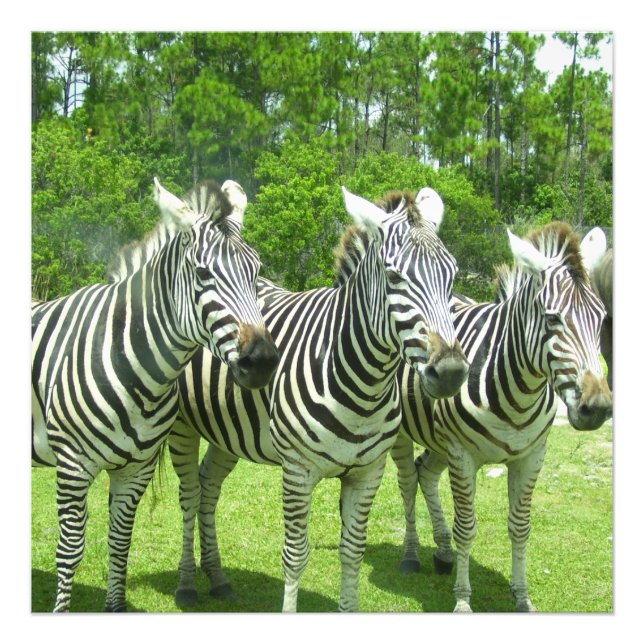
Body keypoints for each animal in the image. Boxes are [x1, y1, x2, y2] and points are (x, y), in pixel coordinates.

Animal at [31, 178, 279, 612]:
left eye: (256, 271)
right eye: (202, 273)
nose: (262, 362)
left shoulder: (136, 468)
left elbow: (120, 541)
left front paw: (115, 609)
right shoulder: (73, 465)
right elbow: (70, 550)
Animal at [168, 185, 469, 611]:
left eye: (453, 276)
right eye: (394, 277)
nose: (451, 373)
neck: (362, 387)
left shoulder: (367, 472)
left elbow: (353, 550)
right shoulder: (297, 470)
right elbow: (295, 556)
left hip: (228, 432)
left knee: (208, 487)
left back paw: (218, 578)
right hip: (182, 426)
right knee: (190, 495)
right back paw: (187, 584)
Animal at [389, 222, 612, 612]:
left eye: (600, 319)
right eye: (552, 319)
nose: (596, 408)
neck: (519, 395)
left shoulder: (531, 456)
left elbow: (520, 527)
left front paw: (522, 597)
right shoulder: (463, 454)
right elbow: (466, 527)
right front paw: (463, 601)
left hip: (440, 441)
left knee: (425, 473)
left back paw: (443, 554)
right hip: (409, 435)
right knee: (406, 482)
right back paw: (411, 555)